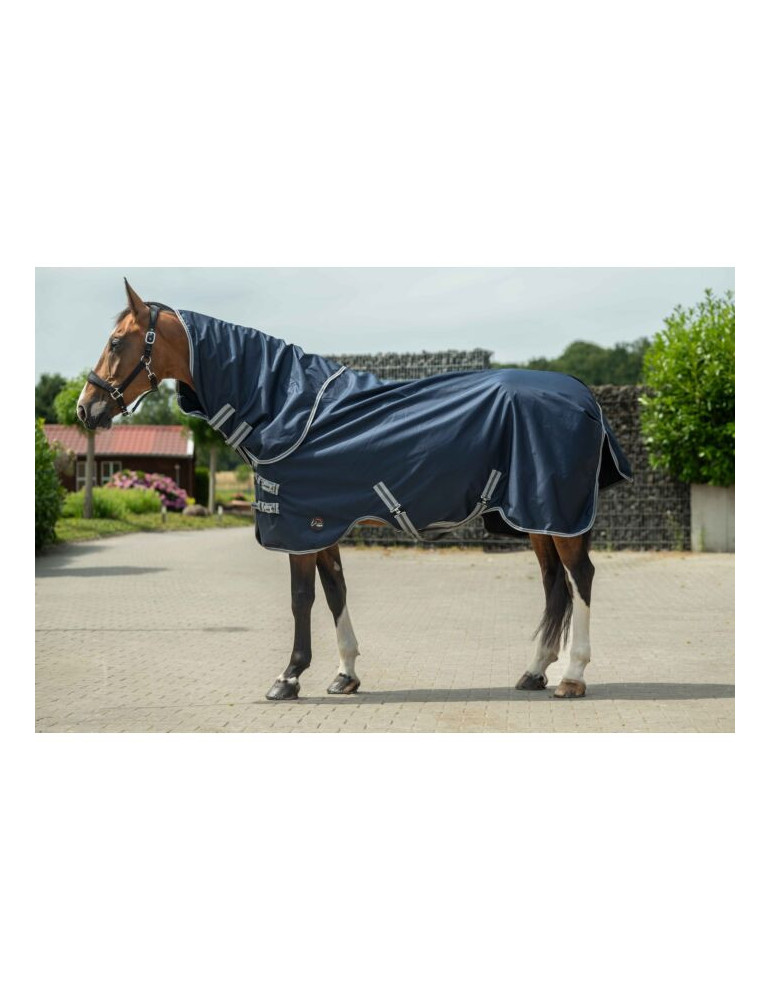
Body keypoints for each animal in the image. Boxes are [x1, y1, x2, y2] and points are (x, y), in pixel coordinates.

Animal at [77, 279, 632, 701]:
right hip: (537, 517)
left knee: (580, 578)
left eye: (117, 342)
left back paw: (572, 677)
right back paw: (535, 672)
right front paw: (344, 674)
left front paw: (288, 677)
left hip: (558, 515)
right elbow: (334, 592)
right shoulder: (320, 523)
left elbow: (301, 599)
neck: (287, 406)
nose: (86, 408)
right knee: (554, 586)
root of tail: (585, 397)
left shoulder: (297, 525)